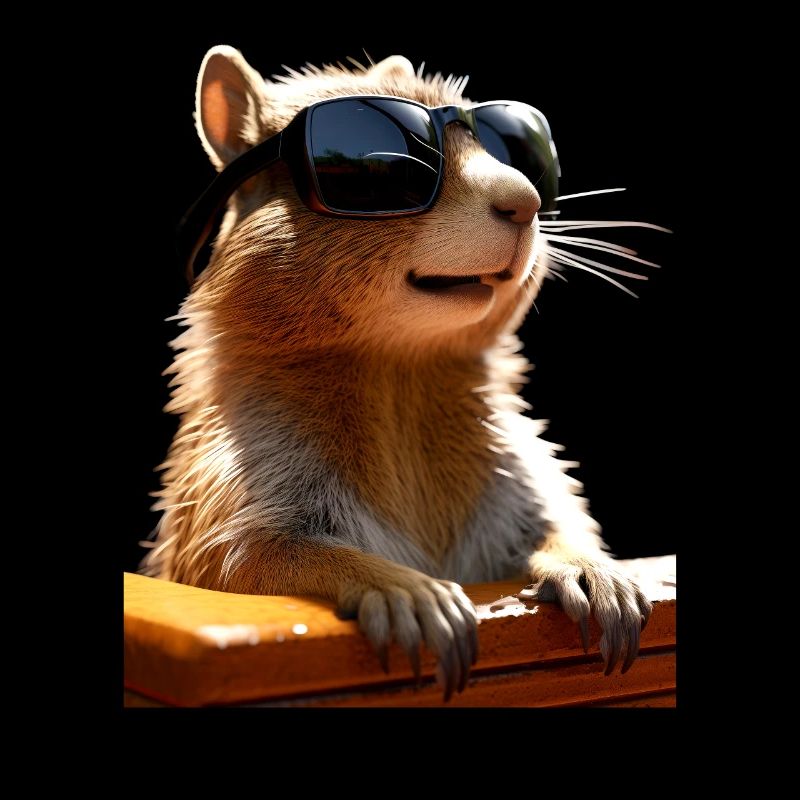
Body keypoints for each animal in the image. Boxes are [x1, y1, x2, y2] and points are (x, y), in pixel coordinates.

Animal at [142, 46, 653, 700]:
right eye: (381, 166)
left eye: (520, 152)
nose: (526, 201)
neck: (399, 368)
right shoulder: (234, 476)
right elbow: (248, 556)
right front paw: (408, 589)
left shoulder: (522, 474)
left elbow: (554, 521)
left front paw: (594, 570)